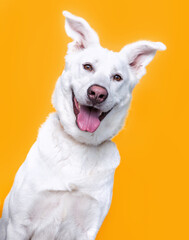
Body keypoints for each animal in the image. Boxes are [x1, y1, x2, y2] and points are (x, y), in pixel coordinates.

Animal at [0, 10, 165, 240]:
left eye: (117, 77)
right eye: (88, 67)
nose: (97, 93)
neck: (79, 146)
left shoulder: (87, 228)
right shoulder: (19, 224)